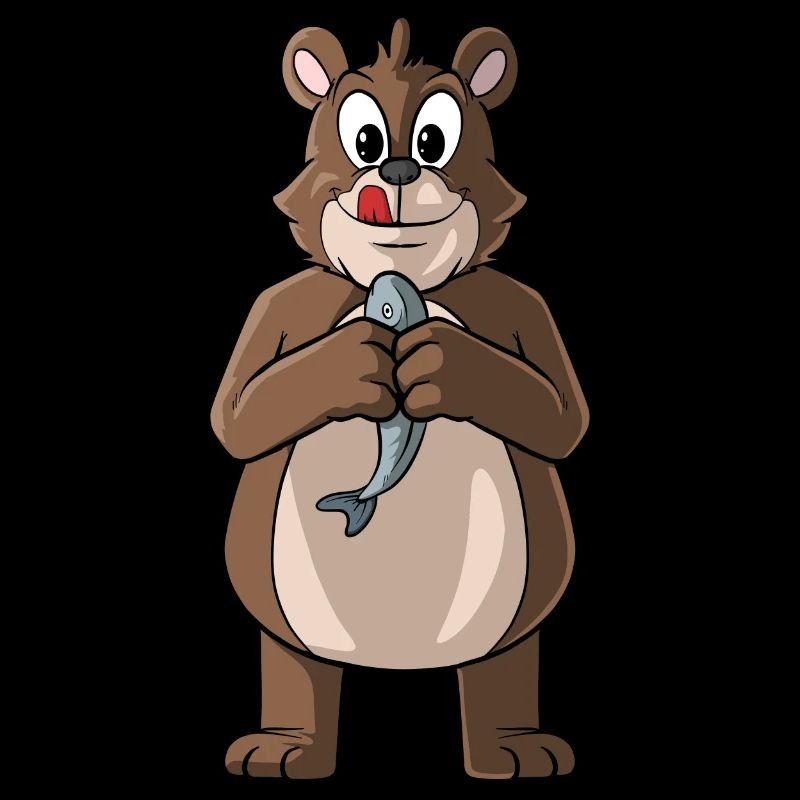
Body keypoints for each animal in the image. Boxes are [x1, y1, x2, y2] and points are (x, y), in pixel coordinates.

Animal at [211, 18, 589, 779]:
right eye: (364, 140)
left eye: (433, 139)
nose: (397, 173)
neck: (403, 278)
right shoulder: (277, 308)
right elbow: (235, 415)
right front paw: (356, 364)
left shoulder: (523, 310)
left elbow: (563, 417)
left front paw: (439, 364)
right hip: (290, 628)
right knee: (300, 670)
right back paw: (284, 749)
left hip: (512, 625)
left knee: (500, 671)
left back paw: (513, 749)